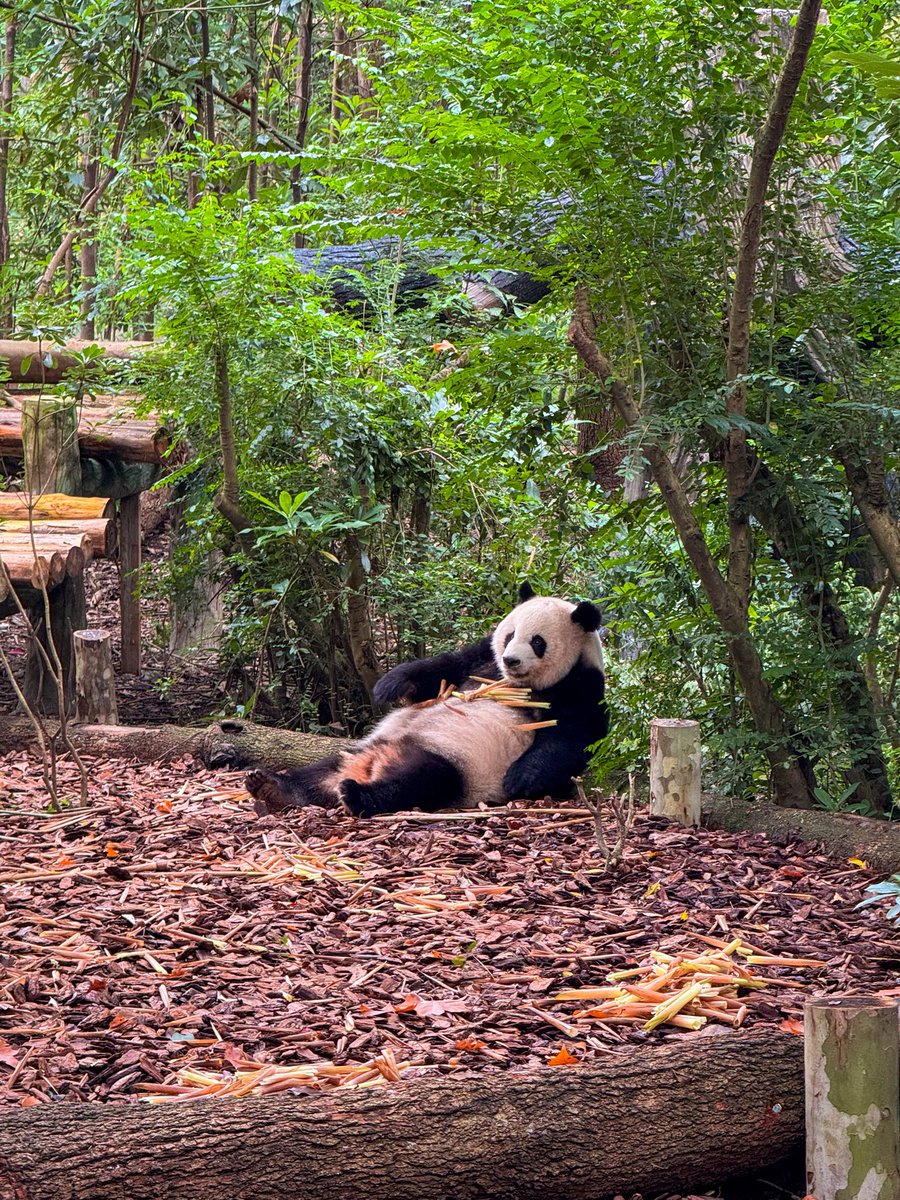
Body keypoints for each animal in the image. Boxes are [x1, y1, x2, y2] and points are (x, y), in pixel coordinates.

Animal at [246, 582, 609, 818]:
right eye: (509, 635)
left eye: (537, 642)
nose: (511, 660)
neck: (512, 681)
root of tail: (373, 762)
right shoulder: (482, 660)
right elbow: (443, 668)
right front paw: (389, 686)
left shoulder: (580, 686)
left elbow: (571, 739)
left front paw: (521, 777)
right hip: (360, 748)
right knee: (321, 770)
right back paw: (271, 785)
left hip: (460, 764)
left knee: (421, 781)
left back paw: (357, 795)